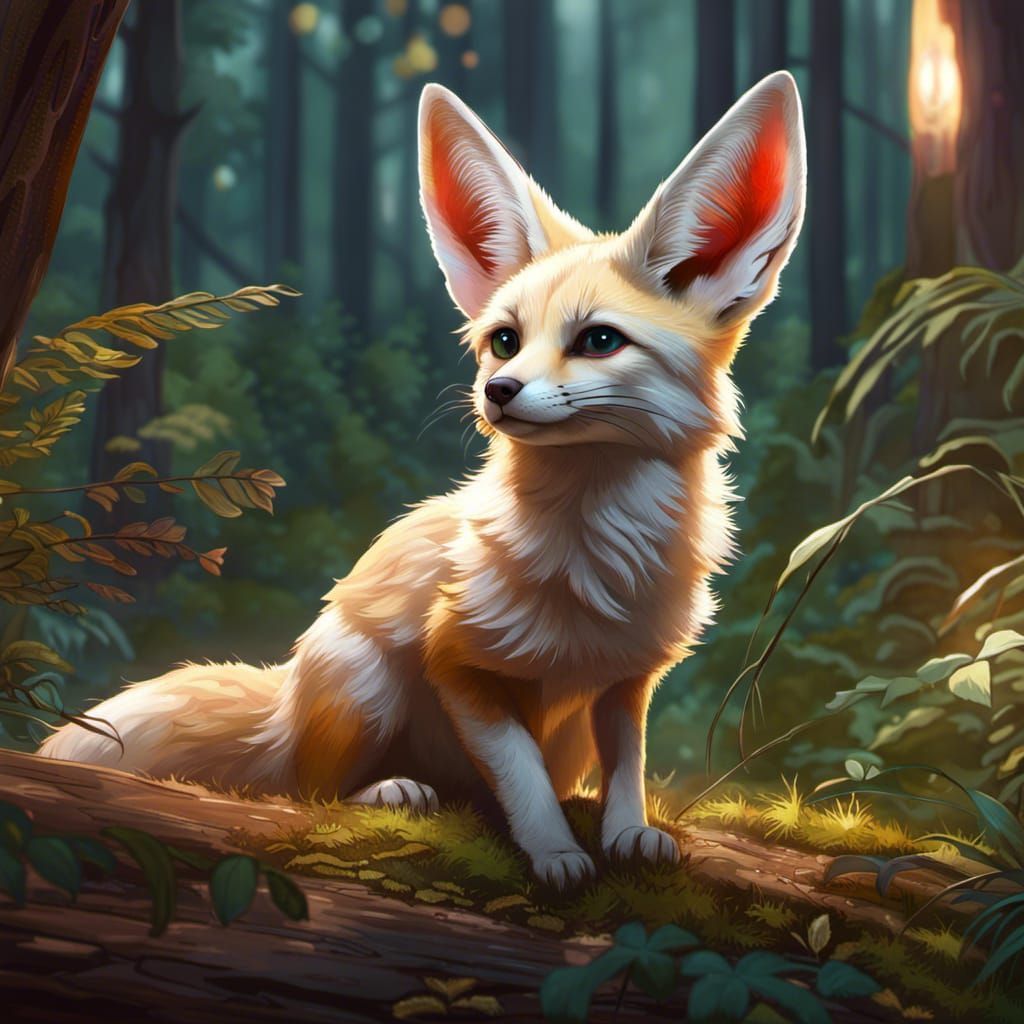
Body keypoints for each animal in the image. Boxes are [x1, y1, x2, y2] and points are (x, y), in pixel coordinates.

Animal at [40, 72, 806, 888]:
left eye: (599, 340)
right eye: (504, 340)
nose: (498, 391)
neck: (594, 558)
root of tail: (285, 699)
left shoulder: (628, 680)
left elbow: (625, 767)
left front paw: (629, 834)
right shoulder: (457, 664)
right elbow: (522, 776)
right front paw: (554, 855)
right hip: (362, 683)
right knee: (307, 790)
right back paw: (390, 790)